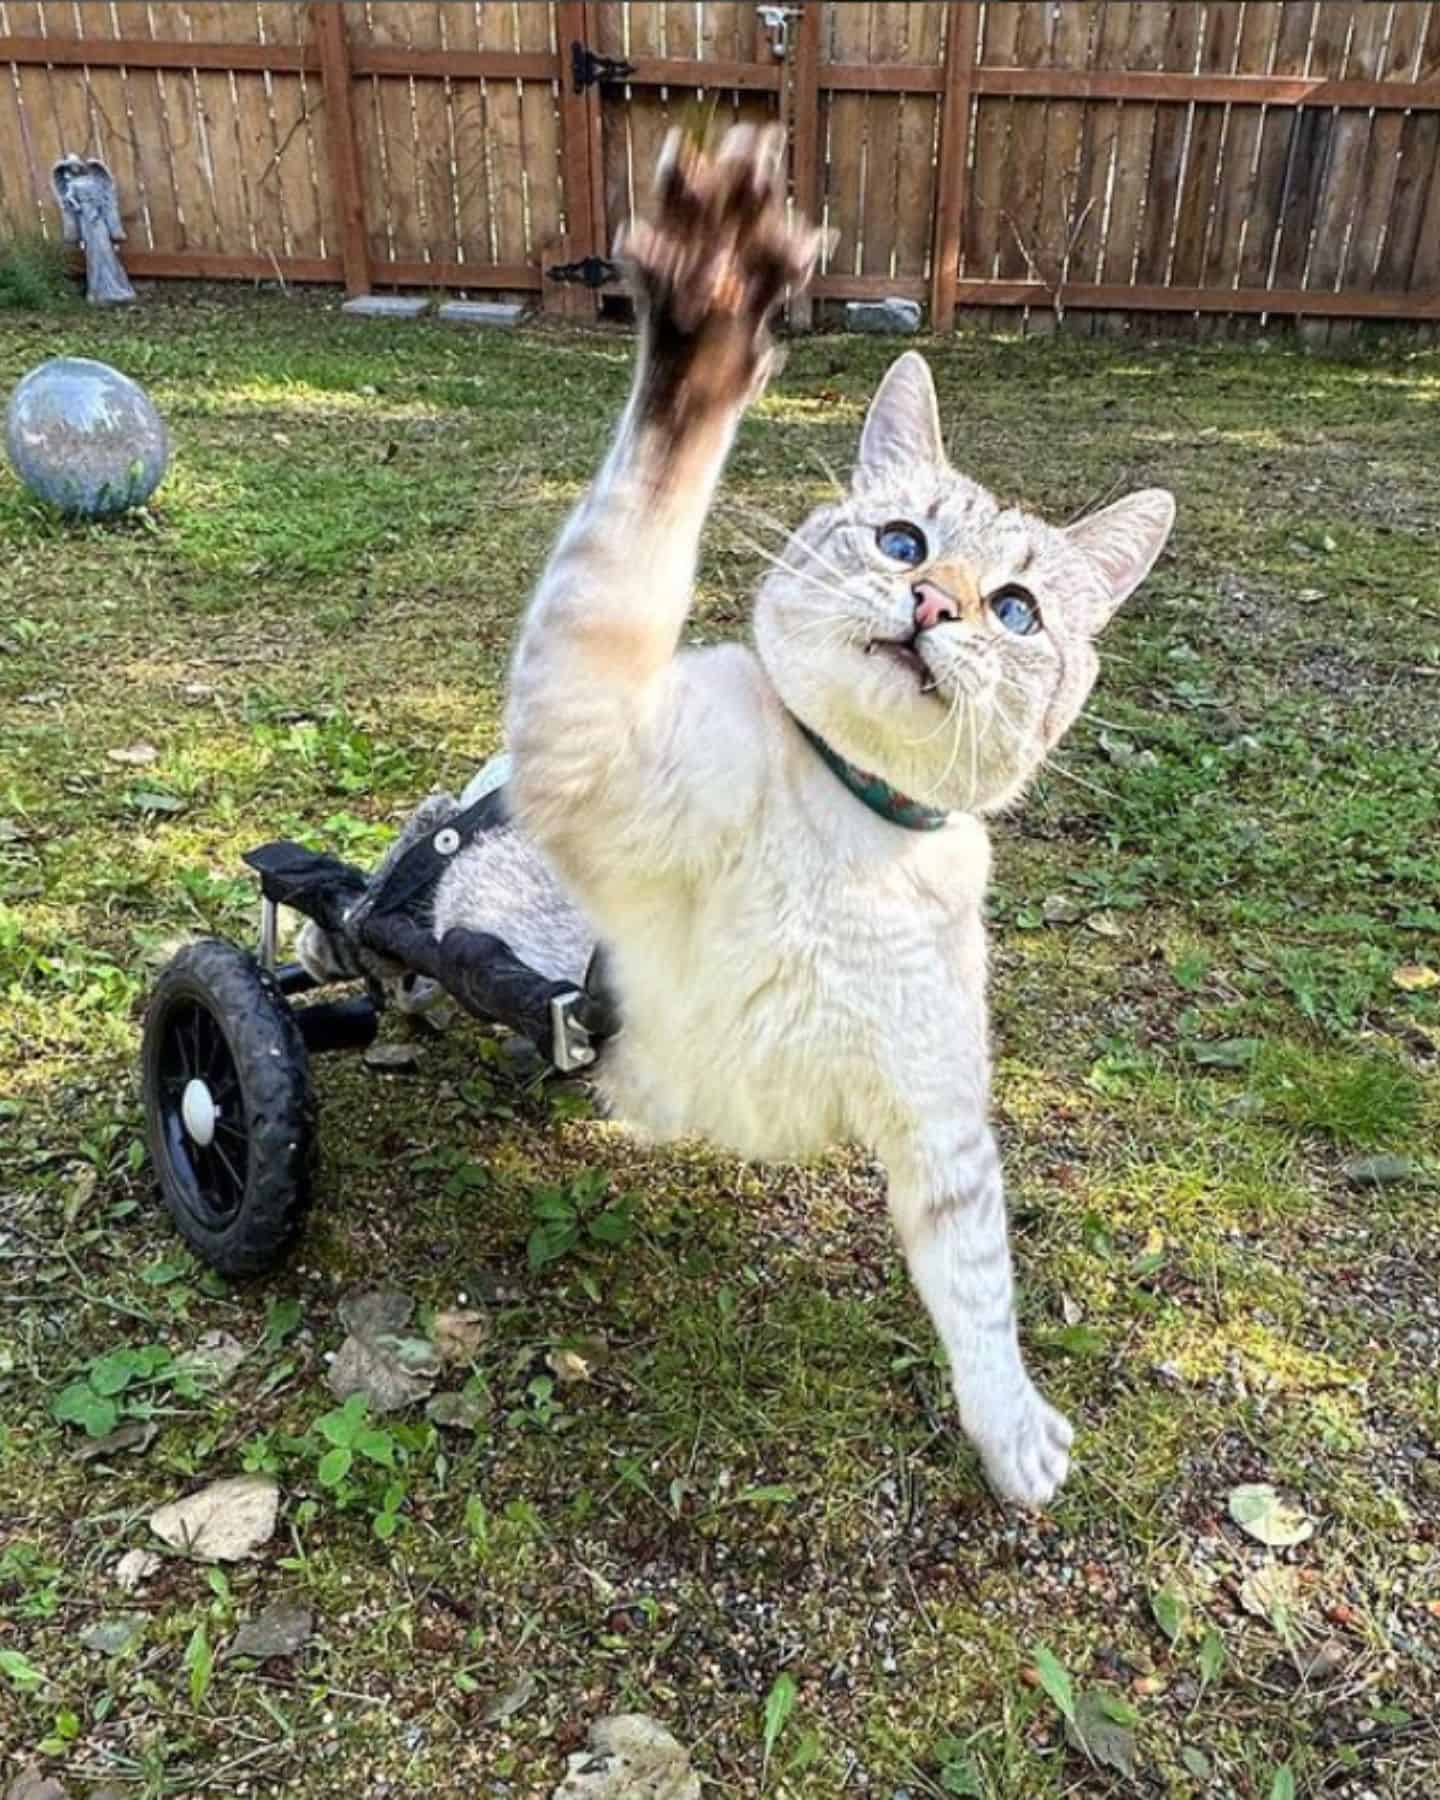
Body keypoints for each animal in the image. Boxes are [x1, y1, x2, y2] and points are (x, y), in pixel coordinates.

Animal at [414, 126, 1166, 1504]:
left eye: (1016, 611)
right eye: (902, 541)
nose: (932, 606)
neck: (850, 830)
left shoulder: (940, 1122)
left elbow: (980, 1291)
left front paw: (1011, 1435)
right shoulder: (585, 738)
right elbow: (638, 522)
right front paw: (712, 309)